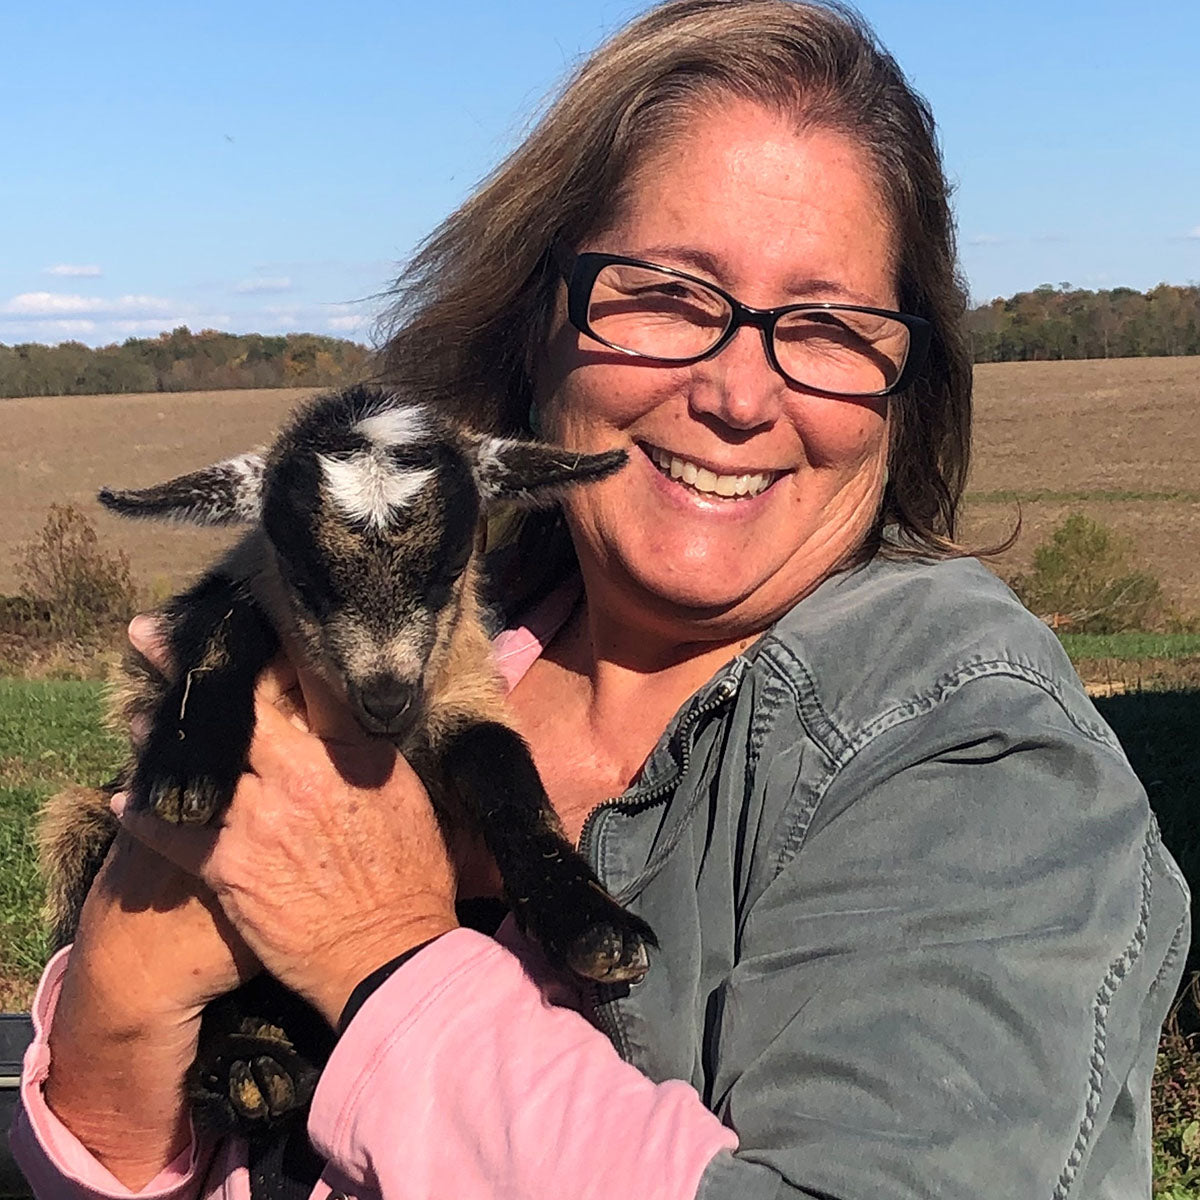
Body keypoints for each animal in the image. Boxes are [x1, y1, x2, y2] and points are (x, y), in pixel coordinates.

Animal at [38, 383, 655, 1137]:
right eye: (305, 578)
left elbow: (502, 762)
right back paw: (243, 1070)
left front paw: (591, 922)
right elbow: (224, 616)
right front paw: (189, 767)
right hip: (79, 821)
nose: (386, 696)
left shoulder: (457, 694)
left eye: (449, 570)